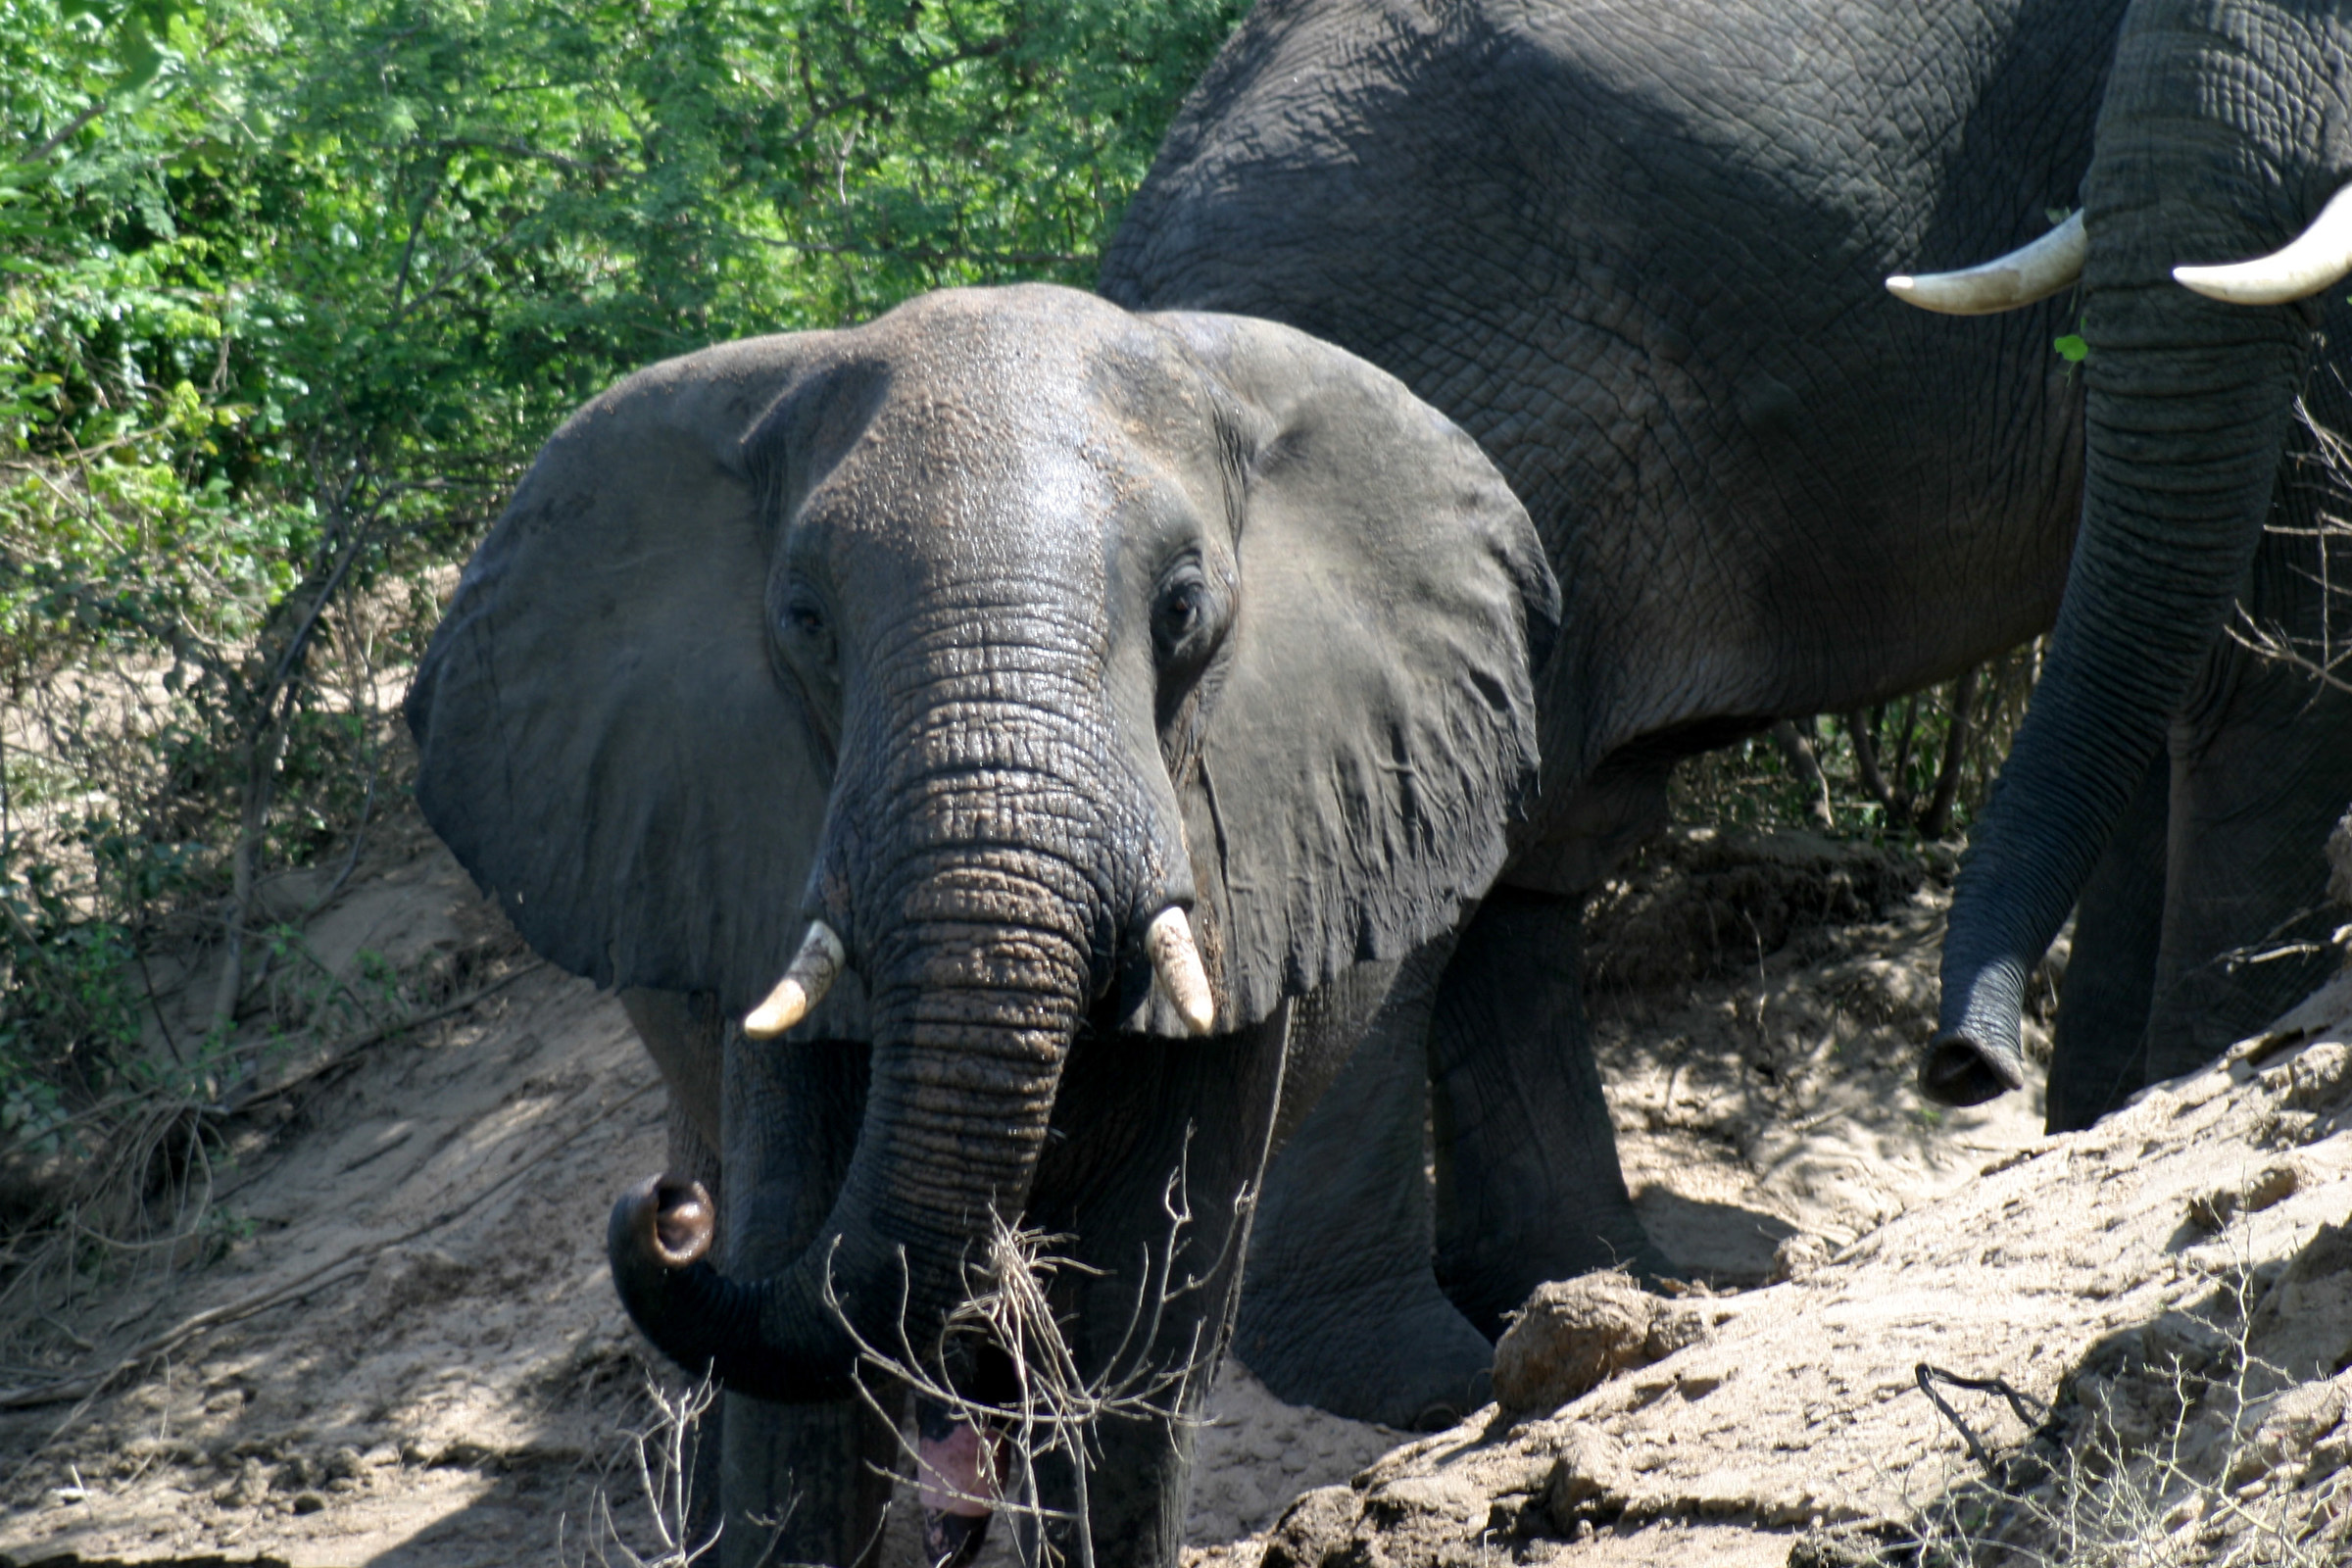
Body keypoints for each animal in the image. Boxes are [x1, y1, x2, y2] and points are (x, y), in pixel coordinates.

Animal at [1095, 0, 2352, 1423]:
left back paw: (1607, 1292)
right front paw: (2210, 1075)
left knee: (1527, 864)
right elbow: (2280, 649)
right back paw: (1421, 1376)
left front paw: (2115, 1114)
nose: (1961, 1069)